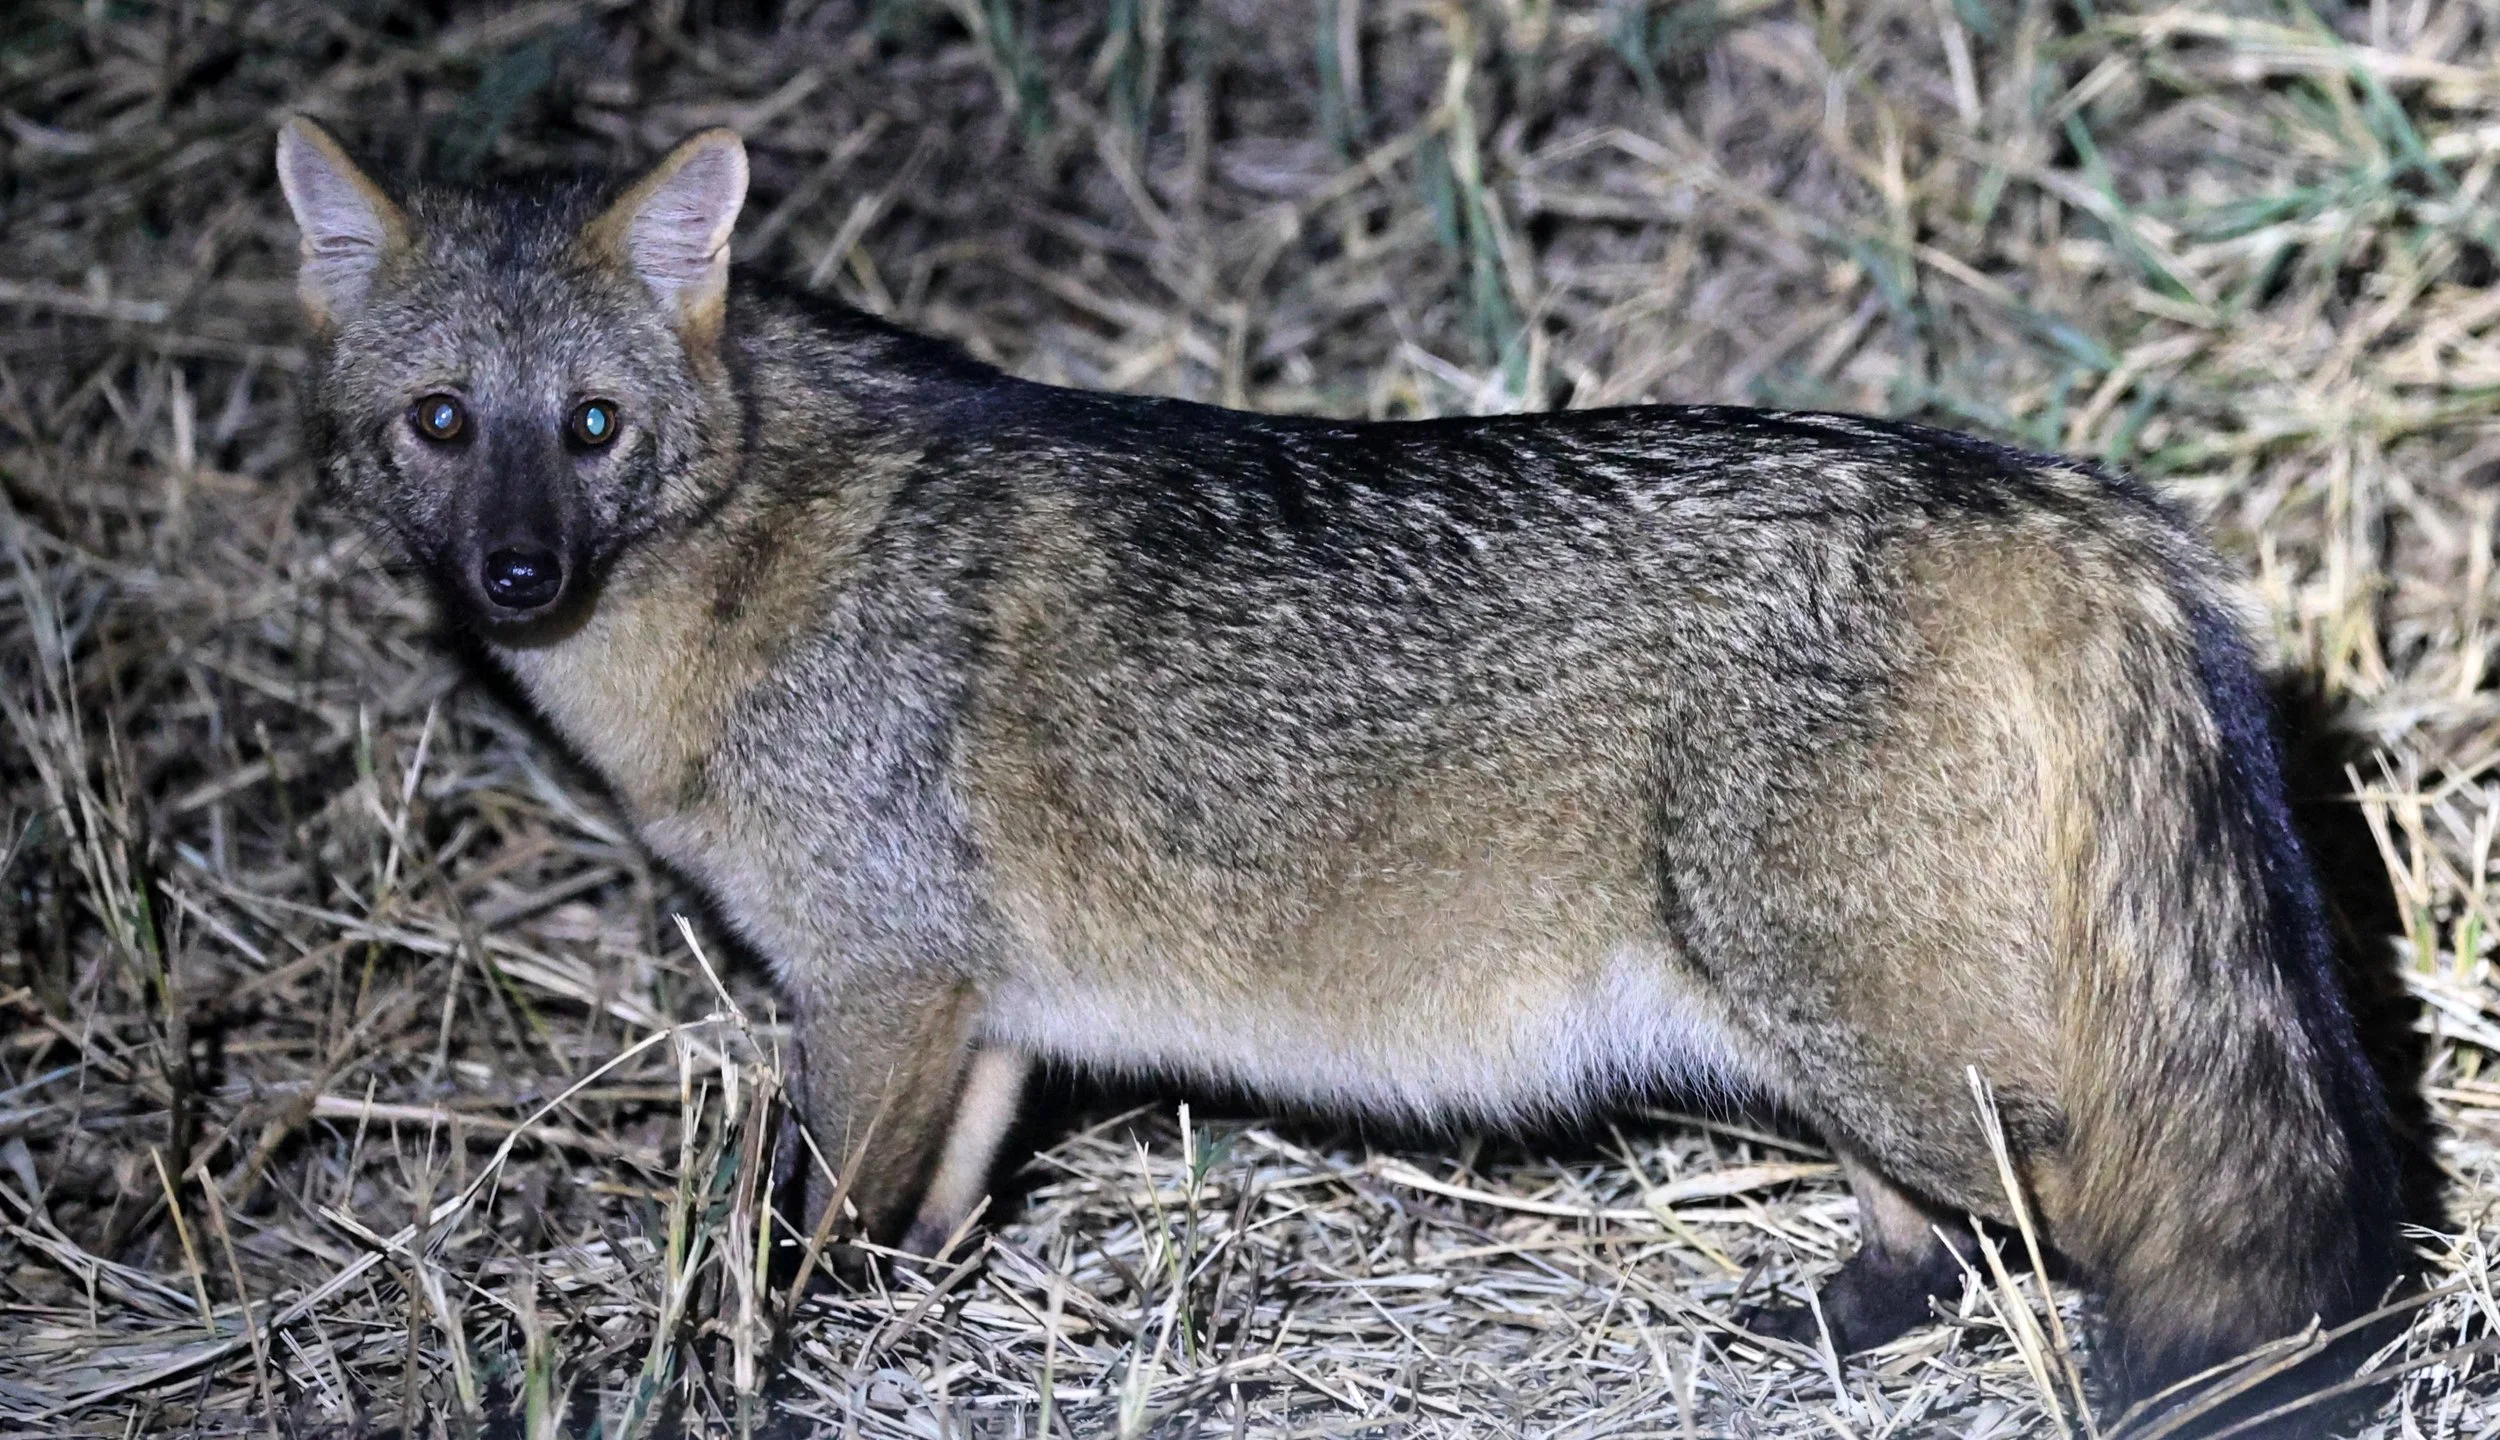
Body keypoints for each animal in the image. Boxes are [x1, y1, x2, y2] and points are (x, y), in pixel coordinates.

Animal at [277, 117, 2401, 1430]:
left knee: (2105, 1216)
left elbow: (790, 1247)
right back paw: (1839, 1315)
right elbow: (918, 1230)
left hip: (1887, 1040)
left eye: (593, 428)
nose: (516, 578)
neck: (755, 570)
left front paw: (752, 1369)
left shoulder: (875, 992)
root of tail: (2049, 491)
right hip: (1833, 1037)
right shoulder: (976, 1024)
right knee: (1942, 1237)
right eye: (444, 426)